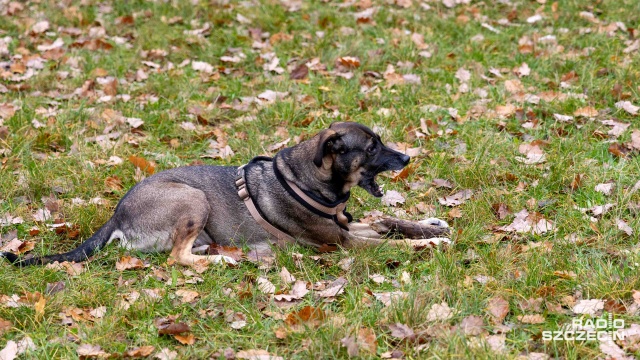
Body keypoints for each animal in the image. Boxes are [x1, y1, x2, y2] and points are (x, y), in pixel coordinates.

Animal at [1, 121, 450, 268]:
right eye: (371, 148)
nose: (407, 157)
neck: (311, 181)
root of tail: (117, 214)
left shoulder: (349, 227)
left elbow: (392, 223)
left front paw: (430, 226)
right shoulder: (341, 242)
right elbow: (391, 242)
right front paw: (432, 243)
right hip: (192, 199)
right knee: (176, 258)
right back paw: (221, 261)